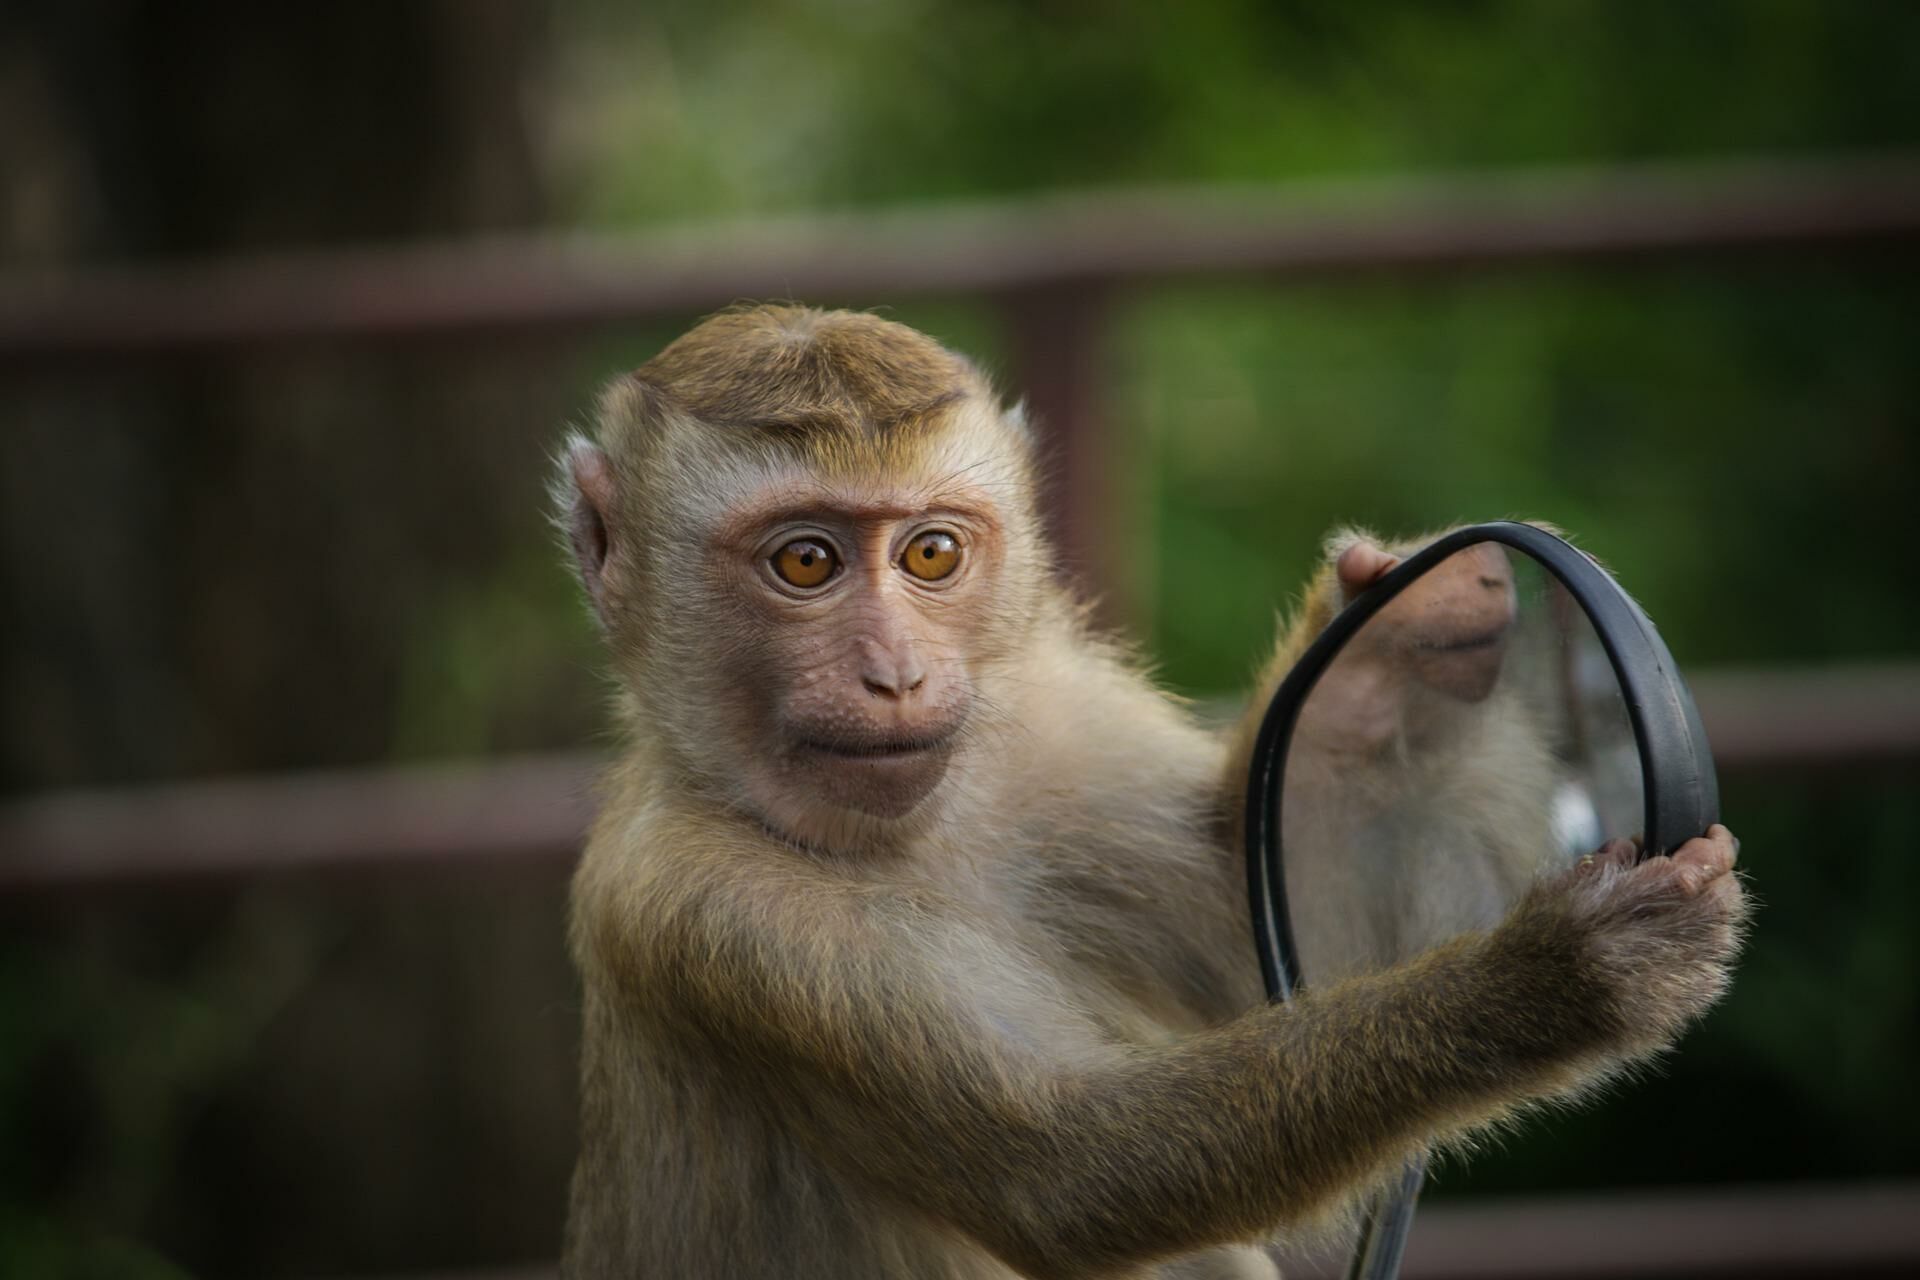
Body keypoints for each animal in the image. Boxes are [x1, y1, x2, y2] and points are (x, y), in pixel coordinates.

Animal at [552, 307, 1743, 1280]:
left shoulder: (1057, 728)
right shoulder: (707, 912)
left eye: (932, 552)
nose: (895, 674)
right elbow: (1070, 1172)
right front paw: (1553, 978)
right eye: (805, 563)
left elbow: (1266, 925)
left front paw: (1384, 647)